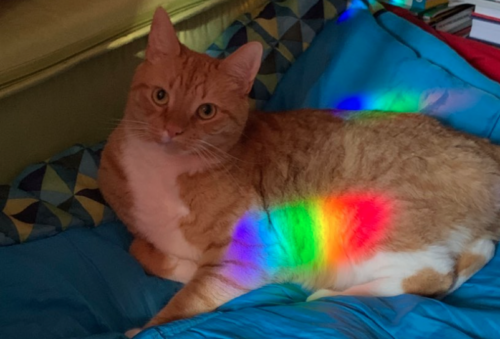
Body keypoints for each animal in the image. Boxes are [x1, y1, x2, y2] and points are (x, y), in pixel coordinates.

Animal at [98, 6, 500, 338]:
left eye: (206, 111)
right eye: (160, 96)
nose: (173, 131)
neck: (163, 168)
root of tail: (479, 146)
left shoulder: (248, 258)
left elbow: (186, 301)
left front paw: (145, 327)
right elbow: (143, 250)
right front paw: (180, 266)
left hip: (370, 232)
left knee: (434, 275)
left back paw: (328, 293)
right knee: (476, 254)